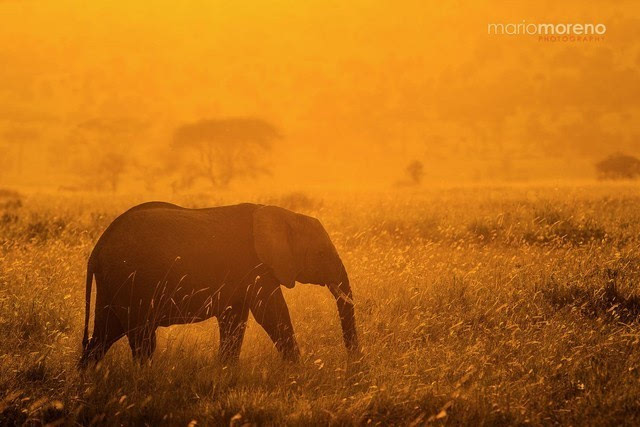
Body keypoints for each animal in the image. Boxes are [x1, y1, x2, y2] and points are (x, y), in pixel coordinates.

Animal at [79, 203, 360, 368]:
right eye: (321, 253)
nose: (354, 363)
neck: (283, 214)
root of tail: (97, 250)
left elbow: (235, 320)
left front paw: (225, 372)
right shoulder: (255, 265)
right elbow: (272, 313)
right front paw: (297, 371)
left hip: (115, 284)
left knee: (104, 335)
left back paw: (87, 383)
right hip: (130, 280)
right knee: (142, 339)